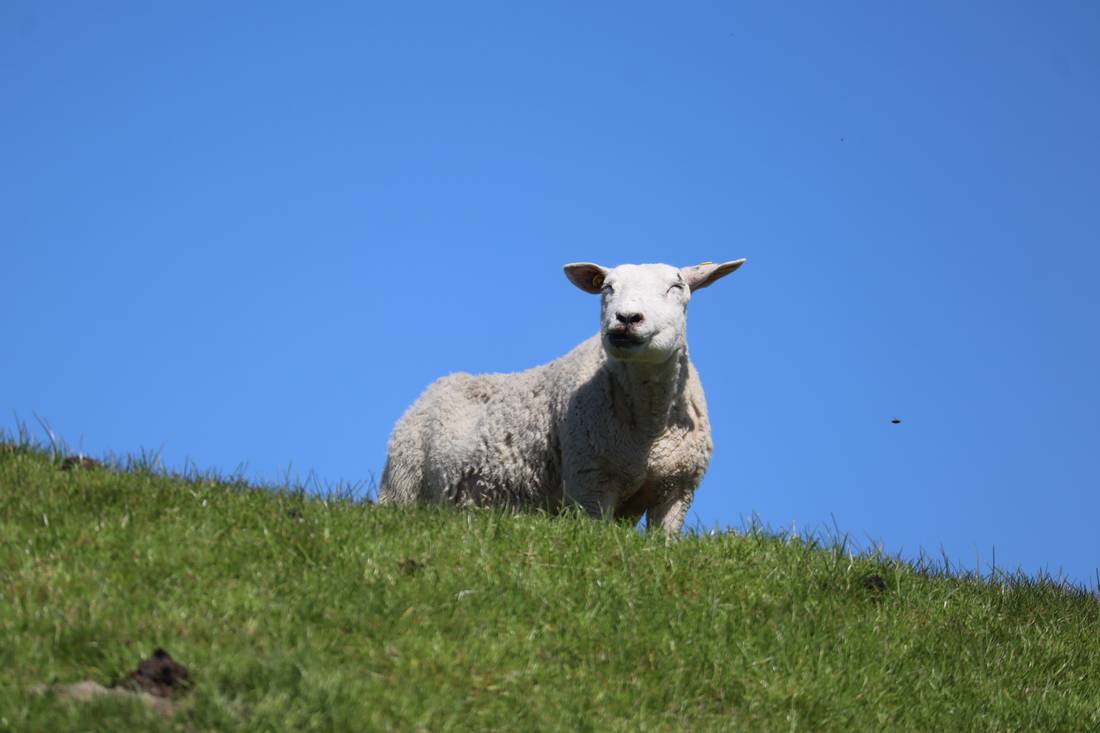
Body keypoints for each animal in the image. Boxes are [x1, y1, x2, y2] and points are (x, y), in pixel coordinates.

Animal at [378, 259, 746, 535]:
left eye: (677, 287)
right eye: (607, 288)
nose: (626, 319)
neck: (649, 427)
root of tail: (438, 386)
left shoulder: (676, 490)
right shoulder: (590, 482)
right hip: (402, 484)